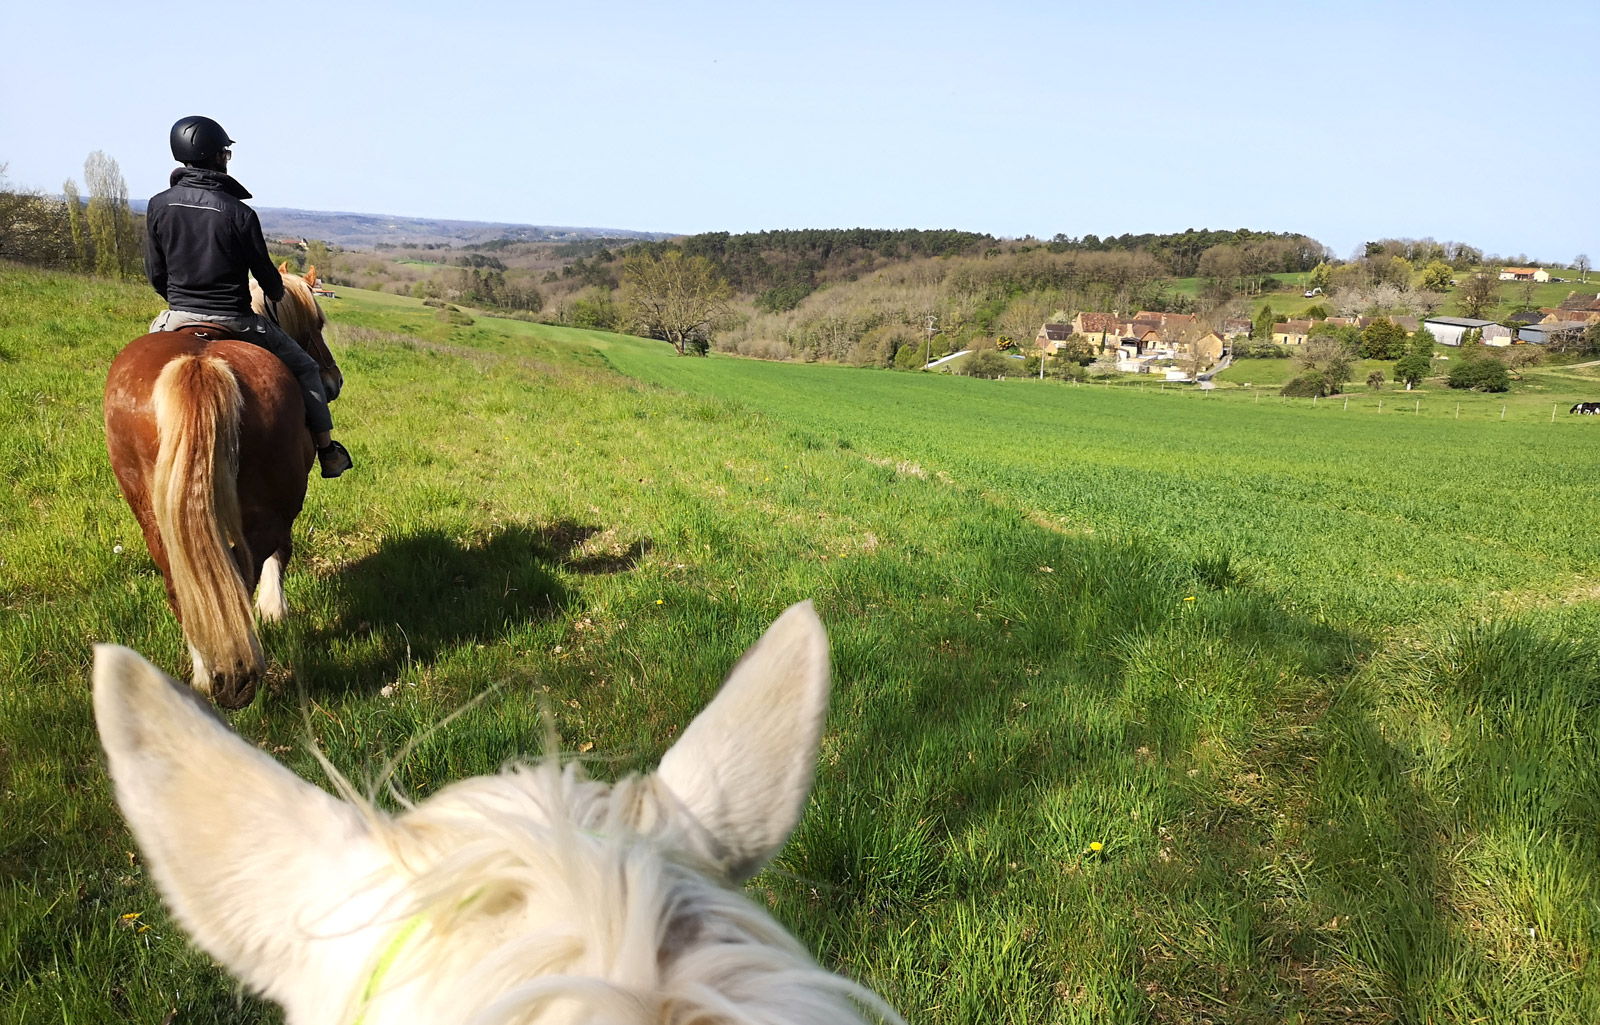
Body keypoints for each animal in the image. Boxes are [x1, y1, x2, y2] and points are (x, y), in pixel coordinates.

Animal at [103, 265, 342, 709]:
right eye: (316, 324)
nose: (333, 380)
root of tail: (198, 364)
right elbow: (280, 554)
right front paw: (274, 609)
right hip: (274, 504)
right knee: (244, 570)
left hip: (151, 512)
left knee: (185, 585)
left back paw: (206, 673)